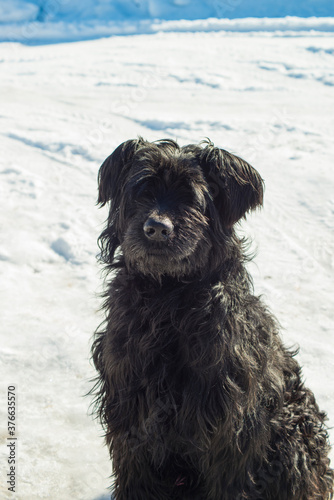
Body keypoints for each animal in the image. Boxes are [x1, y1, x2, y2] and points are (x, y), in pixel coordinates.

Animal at [90, 138, 332, 500]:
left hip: (294, 433)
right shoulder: (130, 411)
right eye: (142, 191)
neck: (168, 298)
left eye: (191, 197)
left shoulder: (230, 430)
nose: (156, 228)